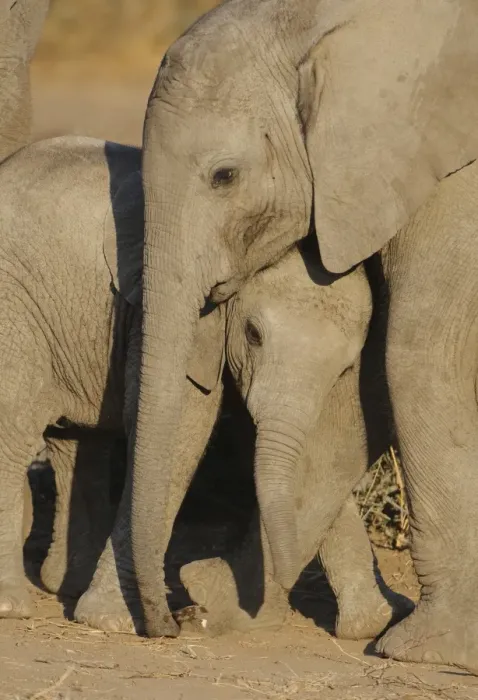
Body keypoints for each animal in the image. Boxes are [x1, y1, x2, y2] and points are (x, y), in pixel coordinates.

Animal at [131, 0, 478, 669]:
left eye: (224, 176)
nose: (170, 625)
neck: (318, 19)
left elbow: (417, 356)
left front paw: (426, 649)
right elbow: (364, 390)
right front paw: (223, 601)